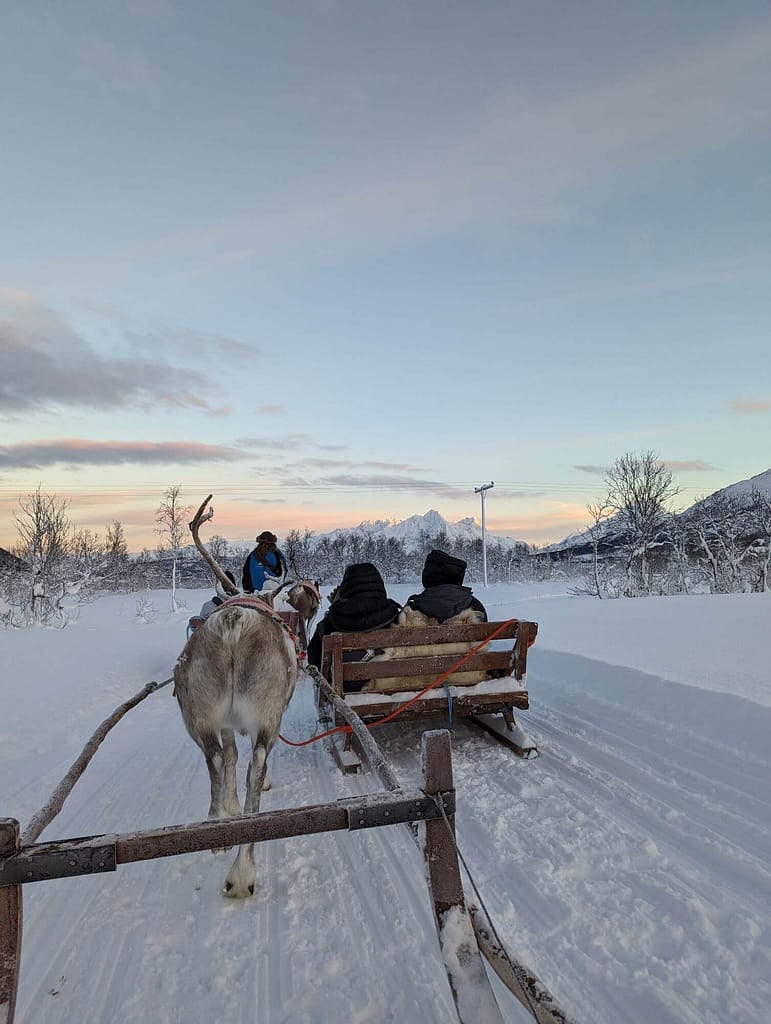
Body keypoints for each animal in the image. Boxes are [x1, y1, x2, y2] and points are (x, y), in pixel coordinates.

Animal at [173, 496, 300, 898]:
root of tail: (234, 624)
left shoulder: (225, 722)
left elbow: (228, 755)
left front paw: (227, 807)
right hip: (266, 714)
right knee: (254, 767)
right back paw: (242, 874)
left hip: (197, 712)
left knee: (214, 756)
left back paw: (217, 825)